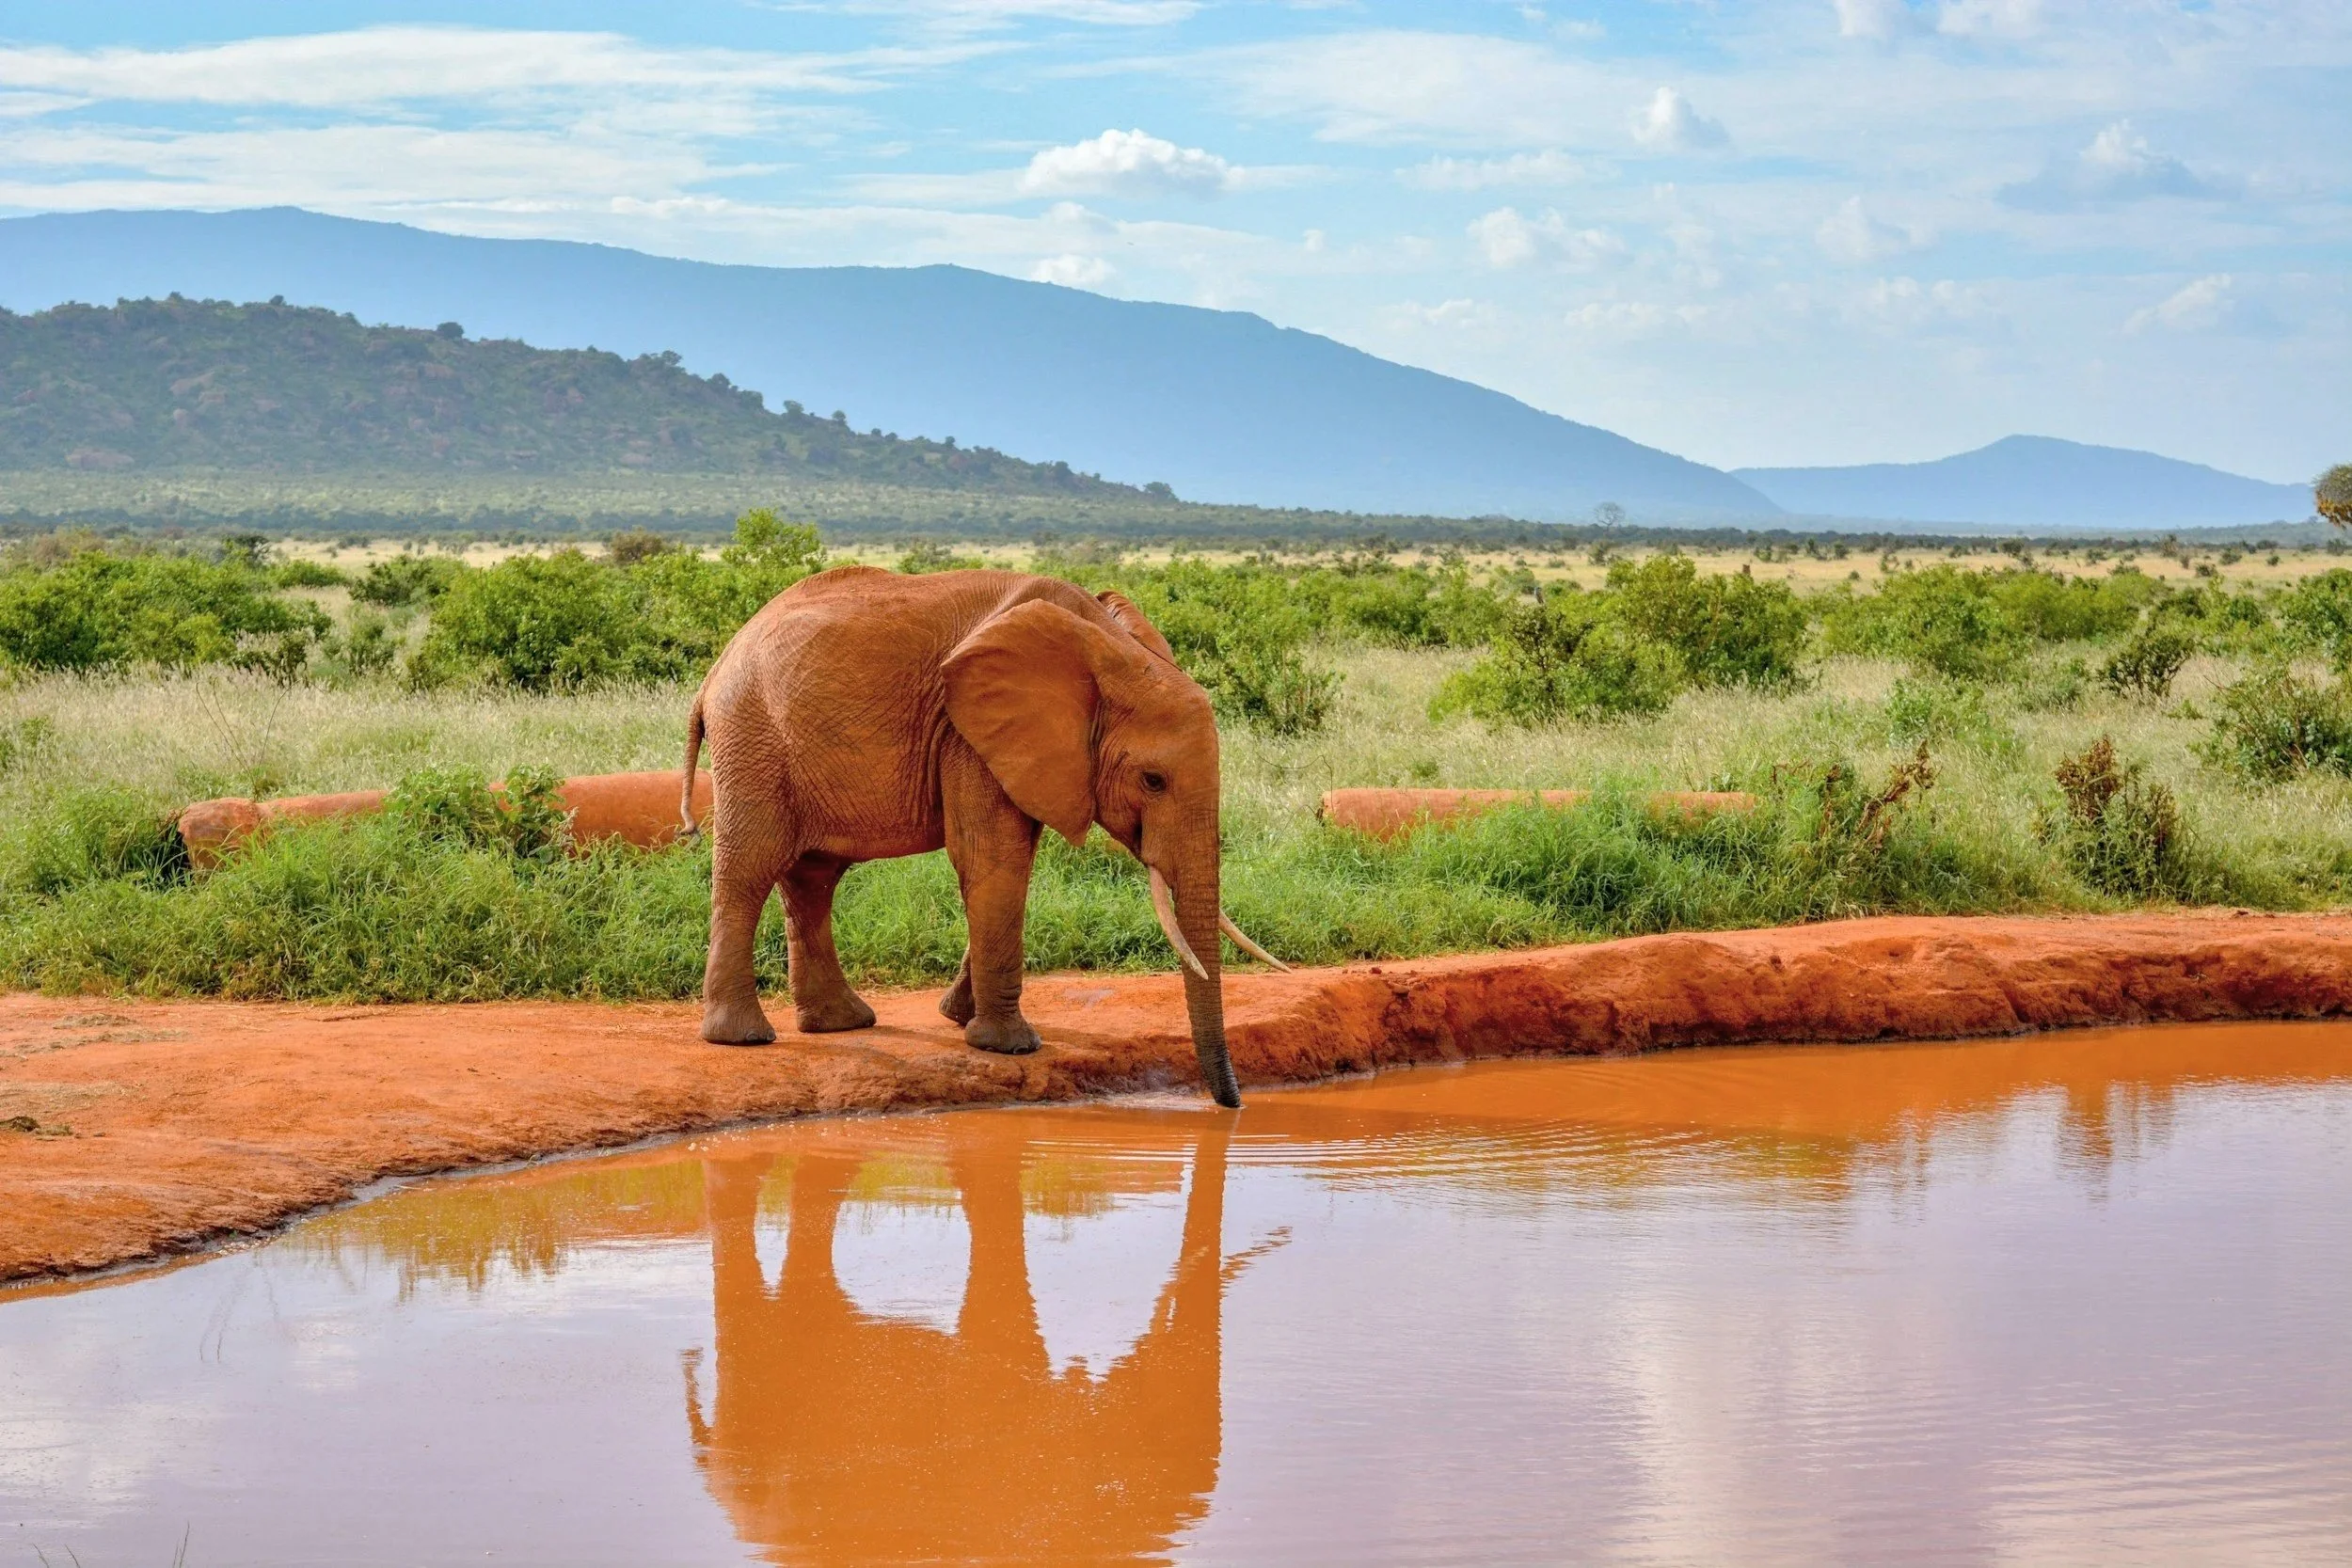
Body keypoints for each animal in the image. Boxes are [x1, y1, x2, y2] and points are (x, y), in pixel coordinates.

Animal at [680, 567, 1282, 1107]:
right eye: (1153, 781)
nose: (1230, 1104)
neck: (1107, 648)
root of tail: (715, 671)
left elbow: (1005, 865)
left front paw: (960, 1018)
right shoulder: (966, 735)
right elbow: (993, 859)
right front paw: (1010, 1047)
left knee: (813, 878)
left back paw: (841, 1024)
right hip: (752, 737)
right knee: (751, 868)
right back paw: (744, 1038)